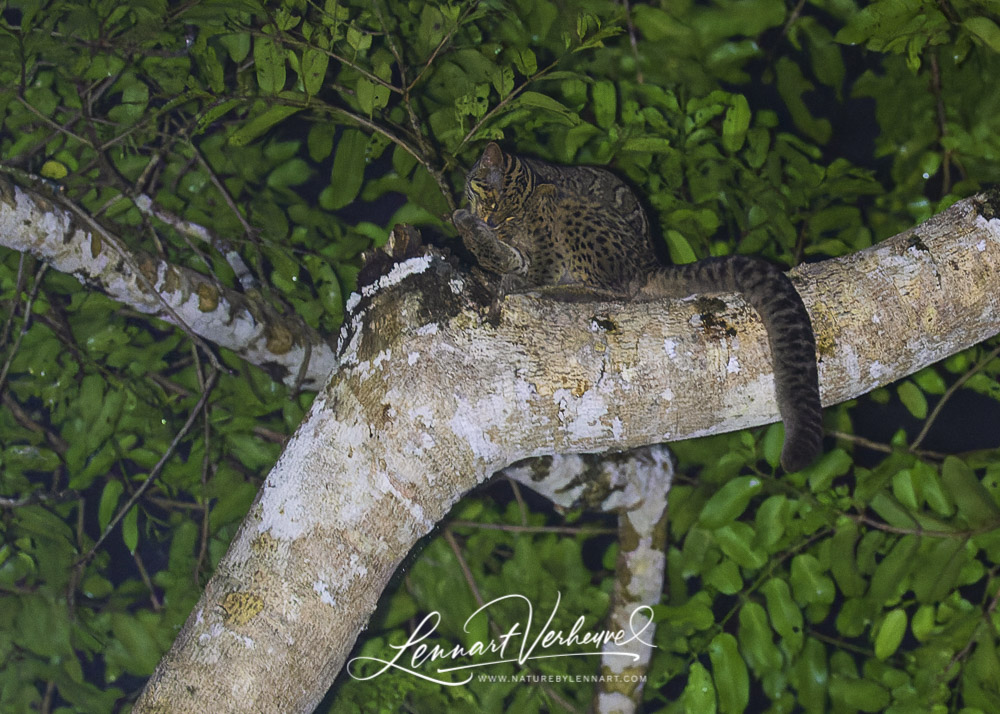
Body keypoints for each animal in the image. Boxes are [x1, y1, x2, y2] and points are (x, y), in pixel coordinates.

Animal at [454, 142, 820, 470]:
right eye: (491, 198)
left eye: (511, 214)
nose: (491, 222)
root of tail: (648, 262)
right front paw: (473, 232)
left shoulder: (548, 247)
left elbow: (532, 270)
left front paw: (502, 268)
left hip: (581, 220)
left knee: (621, 290)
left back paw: (570, 291)